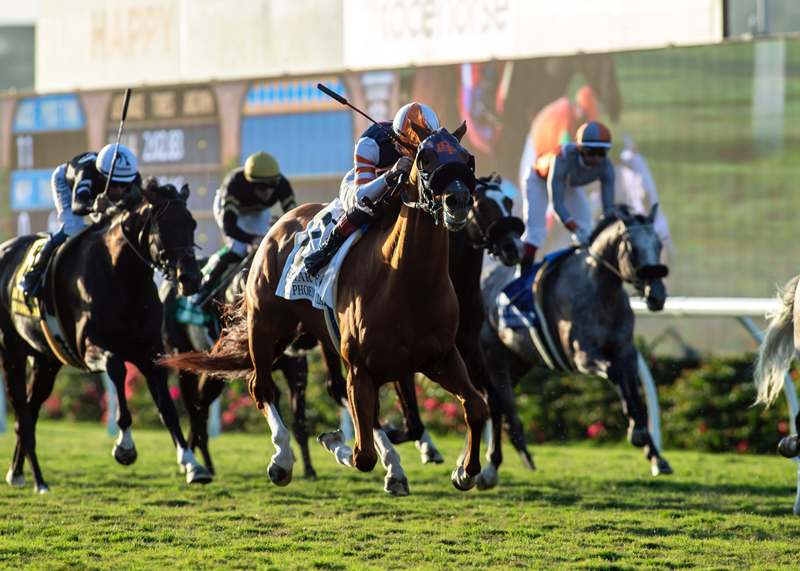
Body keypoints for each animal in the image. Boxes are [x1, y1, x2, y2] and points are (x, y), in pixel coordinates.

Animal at [0, 179, 209, 492]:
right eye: (161, 226)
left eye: (192, 224)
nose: (191, 278)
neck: (121, 277)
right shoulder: (90, 346)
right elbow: (116, 367)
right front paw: (125, 446)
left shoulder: (150, 350)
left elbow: (167, 407)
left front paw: (192, 464)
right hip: (11, 352)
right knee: (22, 416)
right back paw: (38, 481)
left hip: (46, 361)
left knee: (31, 411)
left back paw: (17, 471)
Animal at [162, 124, 488, 492]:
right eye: (425, 158)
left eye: (466, 157)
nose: (458, 200)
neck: (407, 284)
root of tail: (280, 224)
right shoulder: (362, 368)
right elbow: (362, 455)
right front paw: (334, 442)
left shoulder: (439, 357)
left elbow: (476, 406)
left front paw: (465, 471)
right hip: (265, 326)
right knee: (260, 388)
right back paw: (281, 460)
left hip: (318, 337)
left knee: (338, 394)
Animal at [478, 202, 672, 488]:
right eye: (633, 249)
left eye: (658, 244)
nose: (657, 295)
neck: (600, 291)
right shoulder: (580, 356)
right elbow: (613, 372)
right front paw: (636, 432)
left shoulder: (626, 351)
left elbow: (635, 395)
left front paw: (656, 457)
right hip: (493, 357)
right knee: (498, 404)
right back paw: (490, 466)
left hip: (519, 360)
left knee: (500, 406)